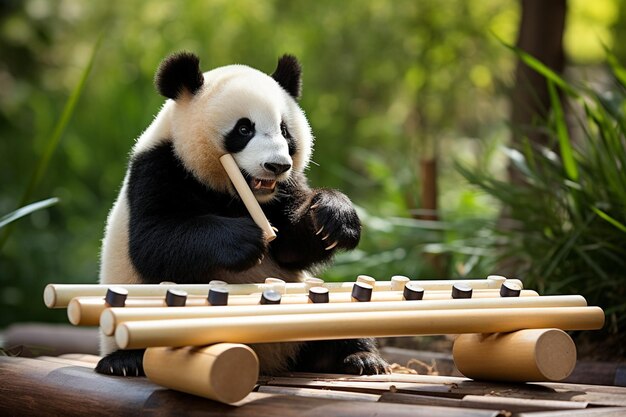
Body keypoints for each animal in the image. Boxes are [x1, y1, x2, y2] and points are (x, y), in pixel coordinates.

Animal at [95, 51, 388, 376]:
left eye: (284, 131)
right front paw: (244, 240)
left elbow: (290, 246)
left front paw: (334, 218)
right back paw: (124, 362)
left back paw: (359, 357)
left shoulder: (283, 191)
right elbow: (154, 240)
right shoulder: (159, 167)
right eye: (244, 129)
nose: (277, 166)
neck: (232, 194)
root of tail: (272, 360)